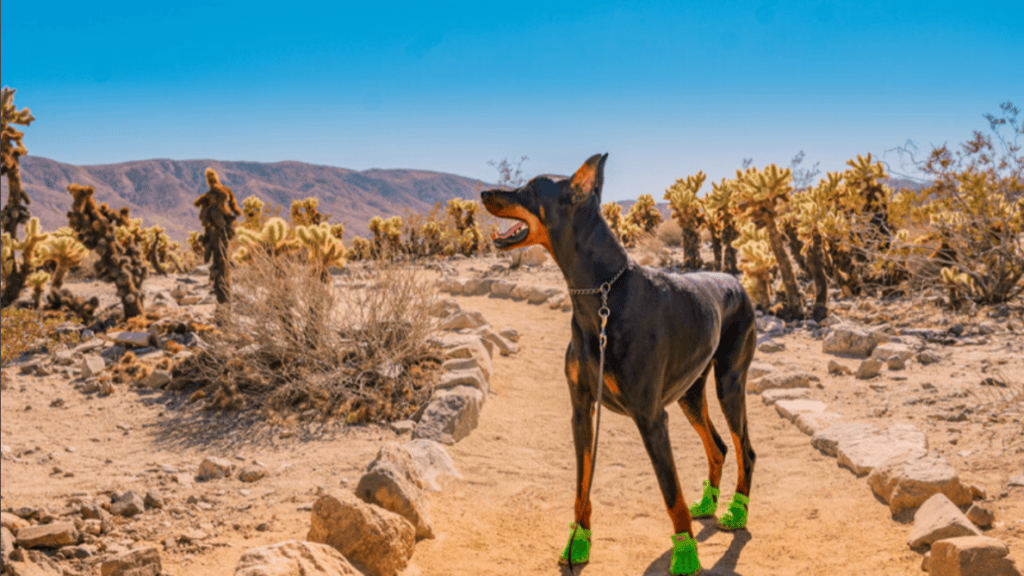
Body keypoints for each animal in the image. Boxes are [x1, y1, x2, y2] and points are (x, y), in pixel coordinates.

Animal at [481, 153, 761, 573]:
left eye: (528, 188)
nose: (483, 193)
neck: (599, 296)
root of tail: (738, 283)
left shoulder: (650, 417)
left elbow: (670, 491)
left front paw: (685, 556)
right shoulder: (582, 409)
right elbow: (582, 486)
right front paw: (578, 542)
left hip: (729, 381)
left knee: (745, 449)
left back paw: (737, 511)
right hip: (689, 392)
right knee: (719, 447)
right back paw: (708, 503)